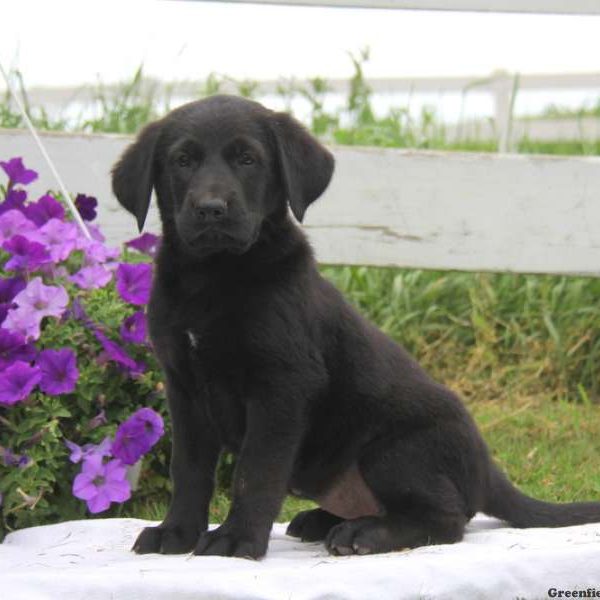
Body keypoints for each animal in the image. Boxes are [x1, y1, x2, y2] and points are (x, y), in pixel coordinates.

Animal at [112, 94, 600, 556]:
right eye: (183, 160)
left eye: (247, 159)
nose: (211, 209)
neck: (212, 276)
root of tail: (485, 467)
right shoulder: (185, 388)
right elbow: (189, 469)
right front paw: (176, 532)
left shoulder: (280, 386)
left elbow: (256, 471)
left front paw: (237, 540)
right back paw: (322, 521)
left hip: (393, 449)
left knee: (447, 519)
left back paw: (363, 533)